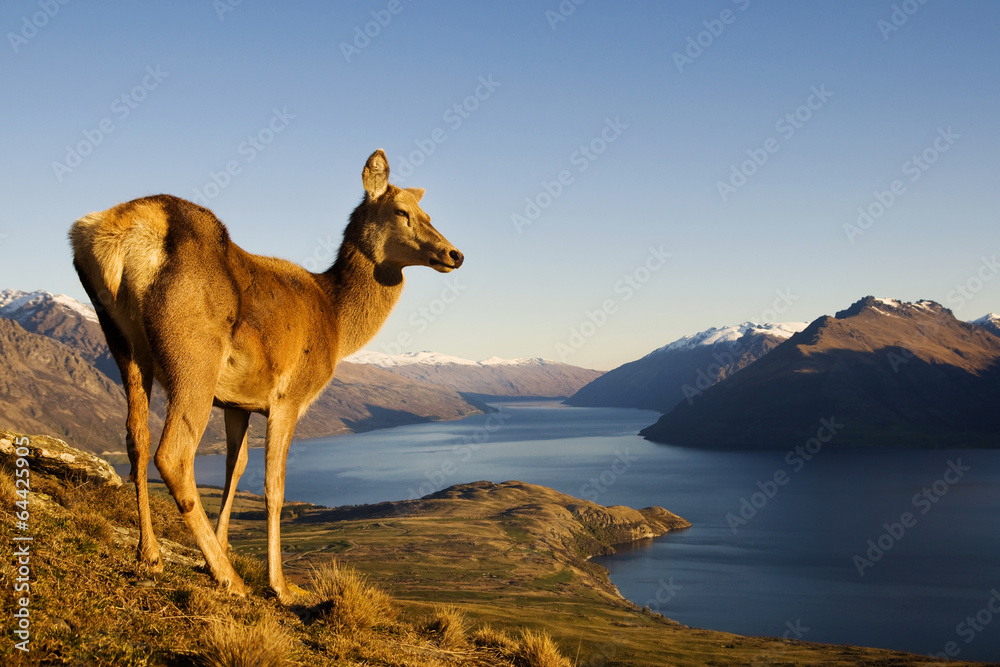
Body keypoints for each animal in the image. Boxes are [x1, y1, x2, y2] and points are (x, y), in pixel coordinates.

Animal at [68, 149, 466, 604]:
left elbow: (235, 468)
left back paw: (150, 553)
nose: (454, 254)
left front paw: (222, 546)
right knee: (173, 454)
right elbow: (274, 487)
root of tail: (115, 234)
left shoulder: (237, 402)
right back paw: (230, 579)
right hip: (194, 357)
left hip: (123, 344)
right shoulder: (289, 397)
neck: (337, 322)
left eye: (428, 213)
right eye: (402, 212)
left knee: (137, 438)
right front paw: (280, 584)